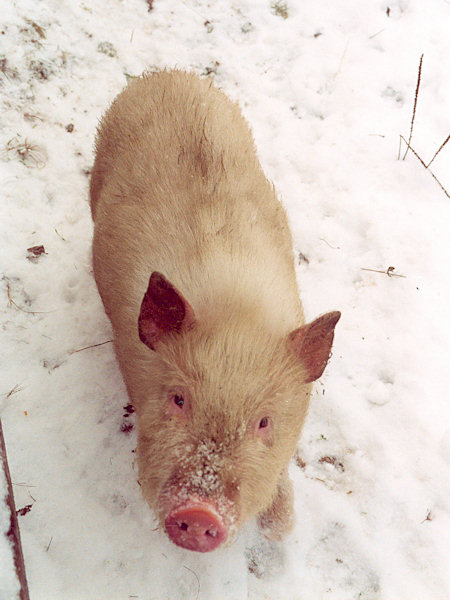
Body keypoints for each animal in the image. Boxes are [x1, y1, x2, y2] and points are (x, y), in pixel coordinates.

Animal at [89, 70, 342, 552]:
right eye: (178, 398)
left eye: (264, 421)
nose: (198, 513)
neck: (236, 312)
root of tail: (165, 73)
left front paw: (280, 530)